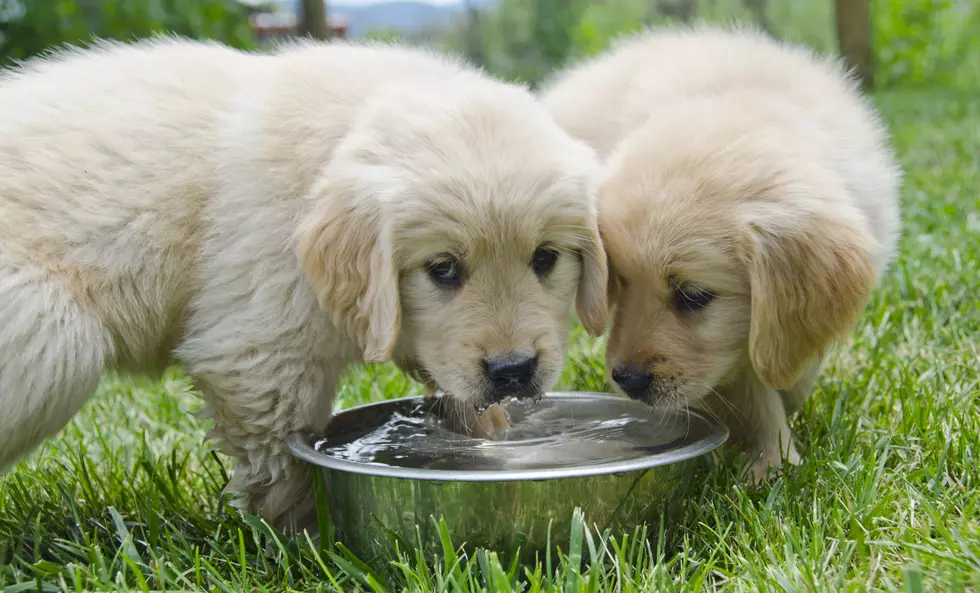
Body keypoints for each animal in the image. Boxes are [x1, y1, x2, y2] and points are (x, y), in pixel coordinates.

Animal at [0, 37, 608, 528]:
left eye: (546, 258)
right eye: (442, 269)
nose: (513, 370)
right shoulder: (260, 353)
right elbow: (284, 459)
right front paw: (305, 536)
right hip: (51, 334)